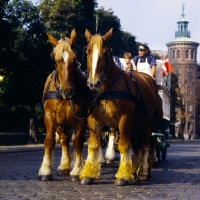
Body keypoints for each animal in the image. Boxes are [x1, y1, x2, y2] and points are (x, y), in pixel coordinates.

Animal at [37, 29, 87, 181]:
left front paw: (77, 170)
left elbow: (77, 143)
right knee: (64, 139)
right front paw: (45, 170)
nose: (67, 91)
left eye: (74, 60)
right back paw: (64, 166)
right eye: (56, 60)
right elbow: (49, 141)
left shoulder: (82, 119)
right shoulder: (50, 117)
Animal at [78, 28, 162, 186]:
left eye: (105, 53)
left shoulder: (124, 118)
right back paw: (134, 171)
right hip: (136, 124)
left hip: (147, 123)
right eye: (87, 52)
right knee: (137, 146)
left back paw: (143, 172)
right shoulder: (93, 119)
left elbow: (124, 145)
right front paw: (88, 175)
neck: (106, 90)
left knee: (146, 145)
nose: (93, 83)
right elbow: (94, 145)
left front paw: (122, 176)